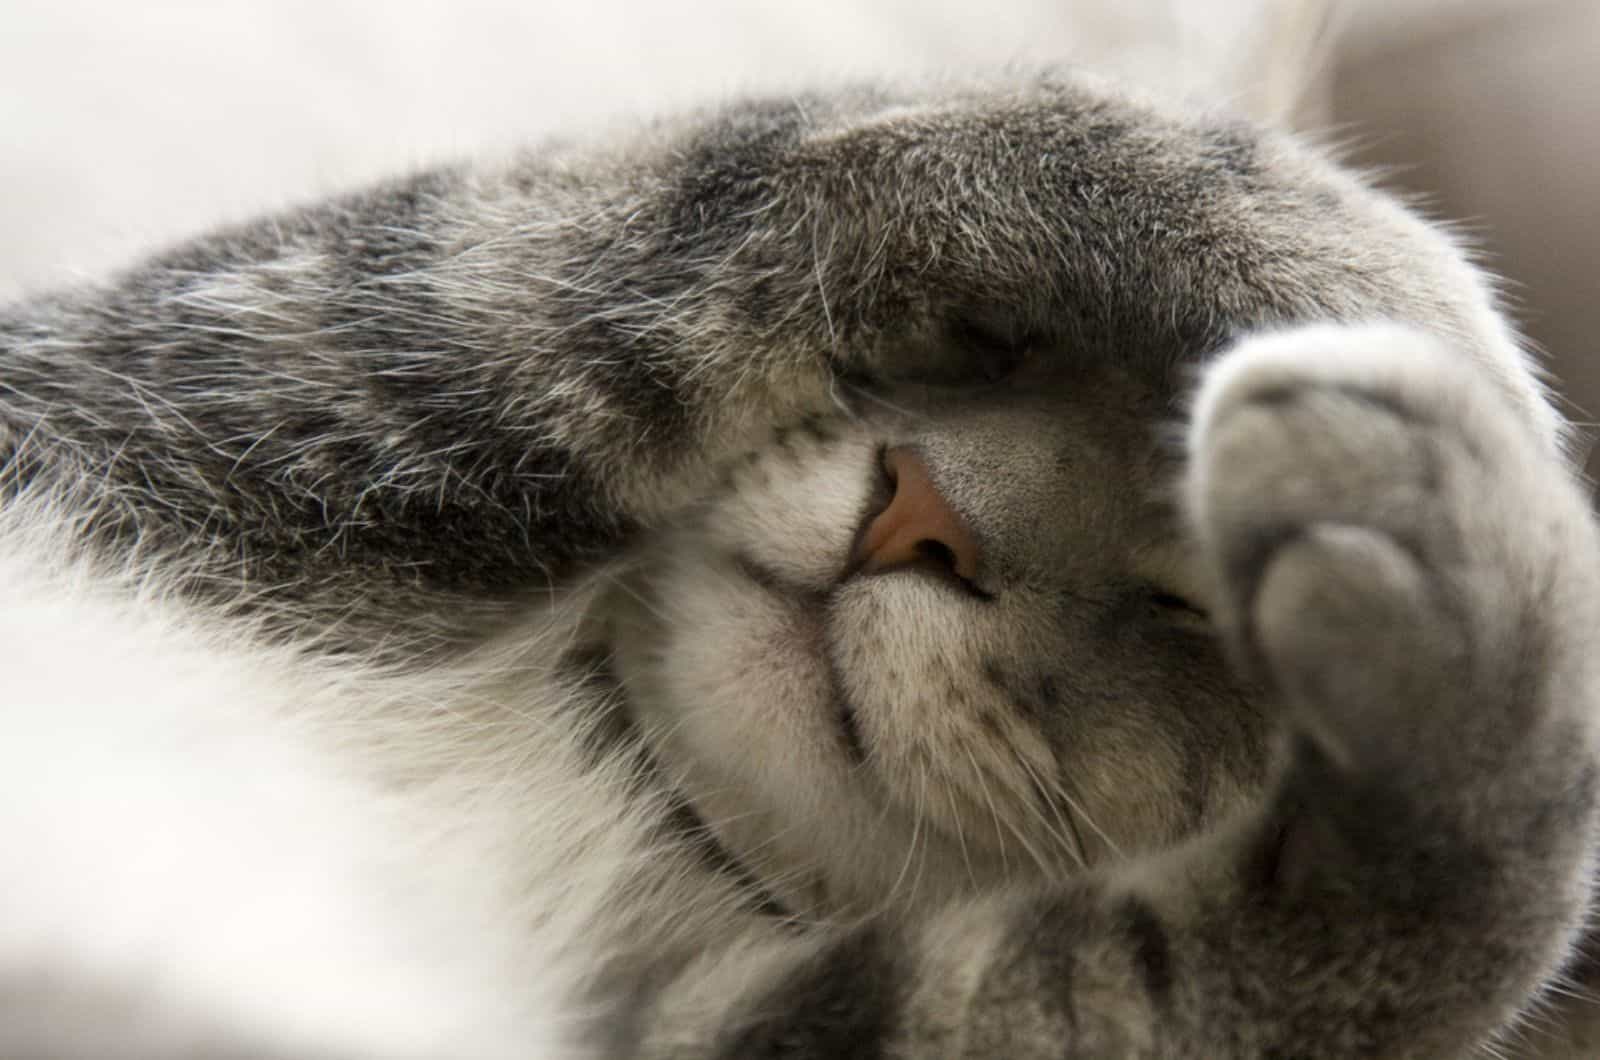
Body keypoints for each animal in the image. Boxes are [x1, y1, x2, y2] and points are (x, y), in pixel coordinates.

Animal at [3, 70, 1600, 1056]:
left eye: (1185, 608)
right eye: (997, 365)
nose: (920, 507)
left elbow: (1173, 980)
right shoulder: (149, 399)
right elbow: (759, 171)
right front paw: (1401, 315)